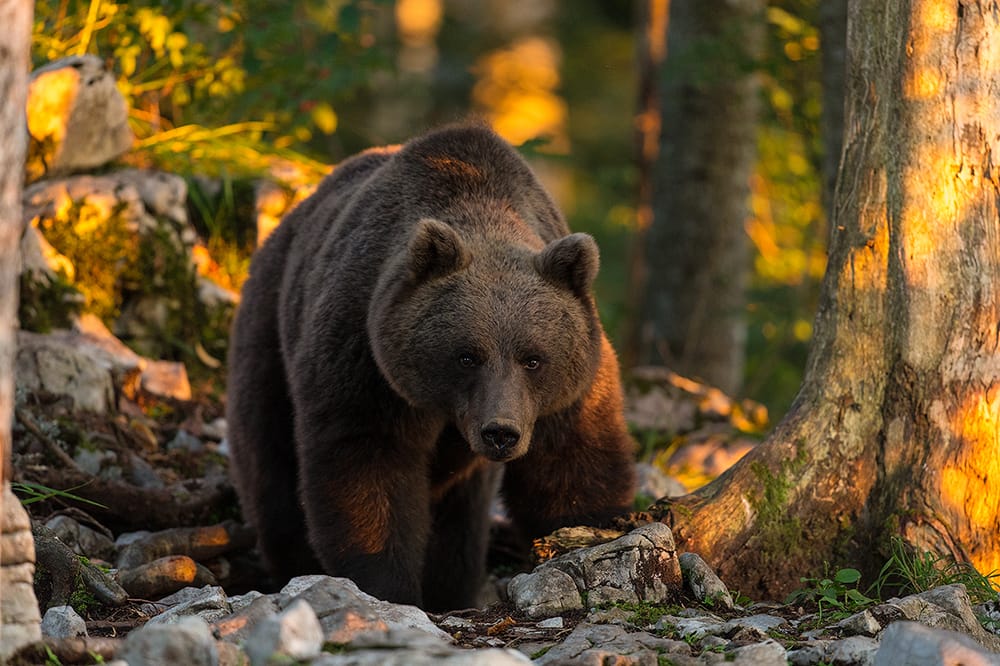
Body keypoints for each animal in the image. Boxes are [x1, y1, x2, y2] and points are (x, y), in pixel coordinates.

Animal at [226, 122, 637, 611]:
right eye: (467, 355)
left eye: (533, 359)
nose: (501, 432)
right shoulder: (368, 360)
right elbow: (368, 463)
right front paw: (387, 587)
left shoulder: (568, 392)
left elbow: (572, 465)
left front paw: (590, 533)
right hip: (269, 328)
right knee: (270, 462)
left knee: (459, 521)